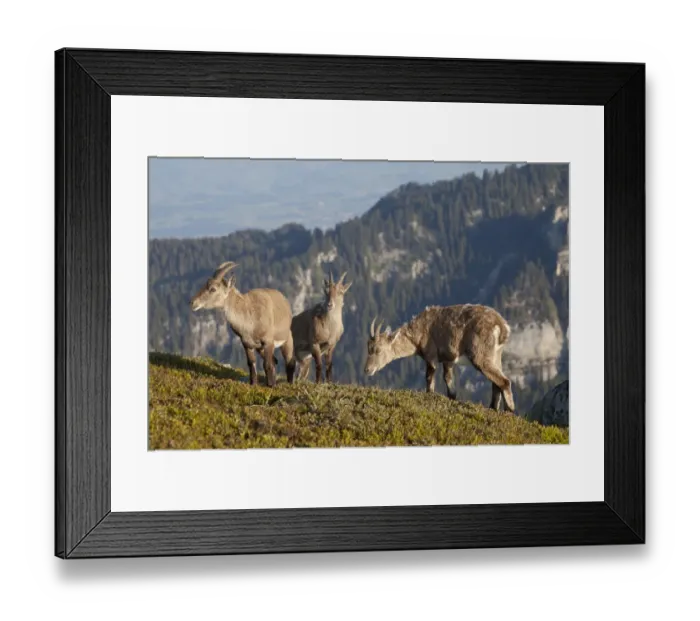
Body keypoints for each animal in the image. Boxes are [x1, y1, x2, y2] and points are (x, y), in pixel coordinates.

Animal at [364, 304, 515, 411]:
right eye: (368, 348)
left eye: (378, 350)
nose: (367, 370)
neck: (419, 332)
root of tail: (502, 326)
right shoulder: (448, 359)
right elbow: (448, 381)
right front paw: (452, 399)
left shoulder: (431, 356)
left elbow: (429, 378)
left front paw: (429, 397)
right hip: (496, 356)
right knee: (496, 382)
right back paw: (493, 408)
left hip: (480, 355)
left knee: (504, 381)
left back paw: (509, 410)